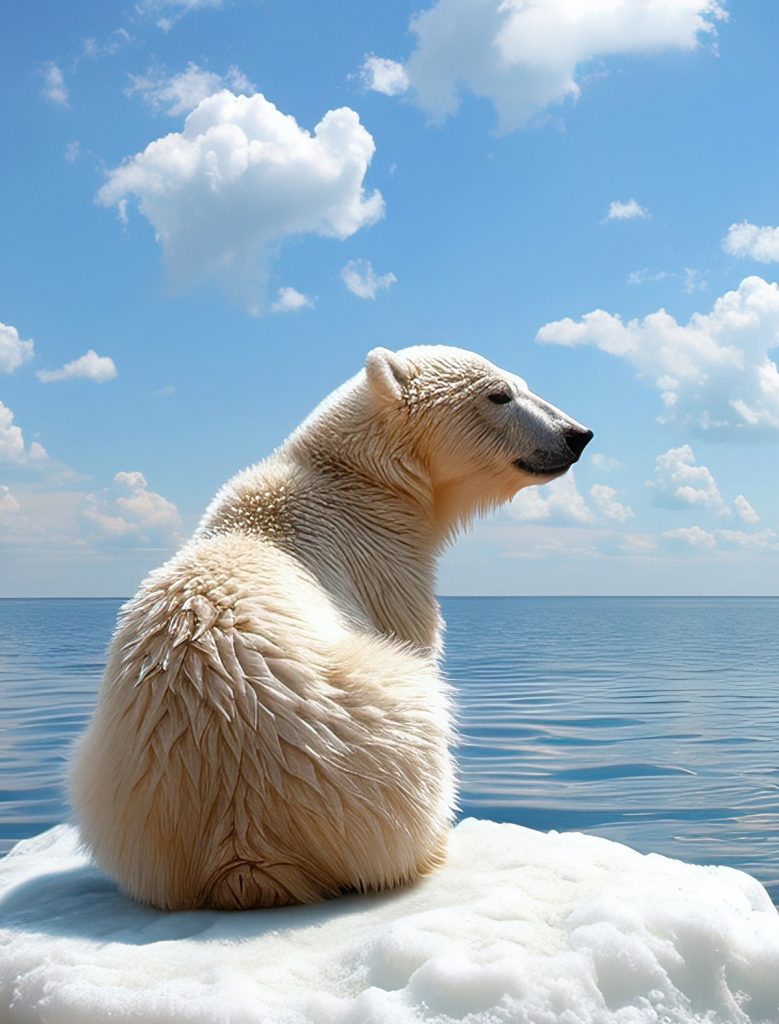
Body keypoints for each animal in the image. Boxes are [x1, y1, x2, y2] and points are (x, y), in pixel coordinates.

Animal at [70, 345, 592, 911]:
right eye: (500, 394)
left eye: (522, 383)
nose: (577, 434)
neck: (357, 481)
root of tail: (244, 853)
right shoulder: (384, 565)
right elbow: (415, 634)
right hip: (372, 740)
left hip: (112, 790)